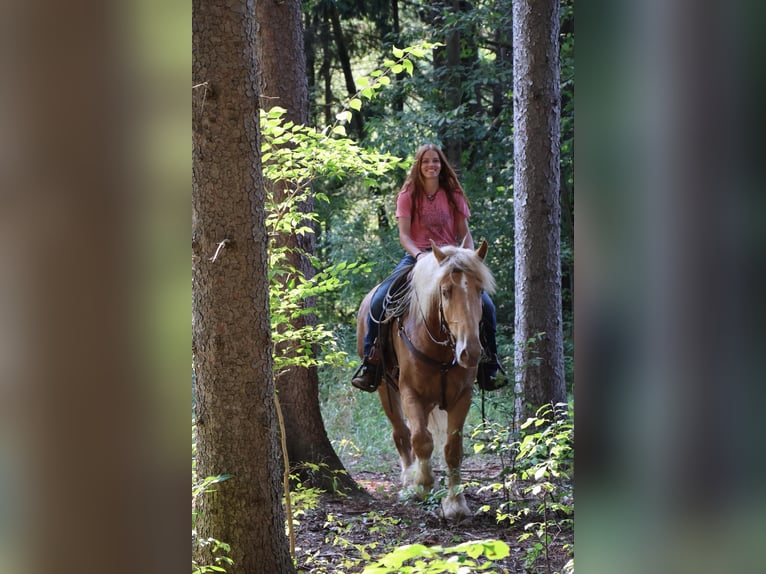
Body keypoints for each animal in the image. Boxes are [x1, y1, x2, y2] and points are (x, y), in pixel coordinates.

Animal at [356, 238, 496, 520]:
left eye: (479, 291)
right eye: (445, 291)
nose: (471, 352)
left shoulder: (462, 396)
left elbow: (452, 449)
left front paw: (455, 503)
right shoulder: (411, 392)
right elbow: (421, 440)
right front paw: (422, 485)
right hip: (385, 388)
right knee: (401, 432)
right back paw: (409, 478)